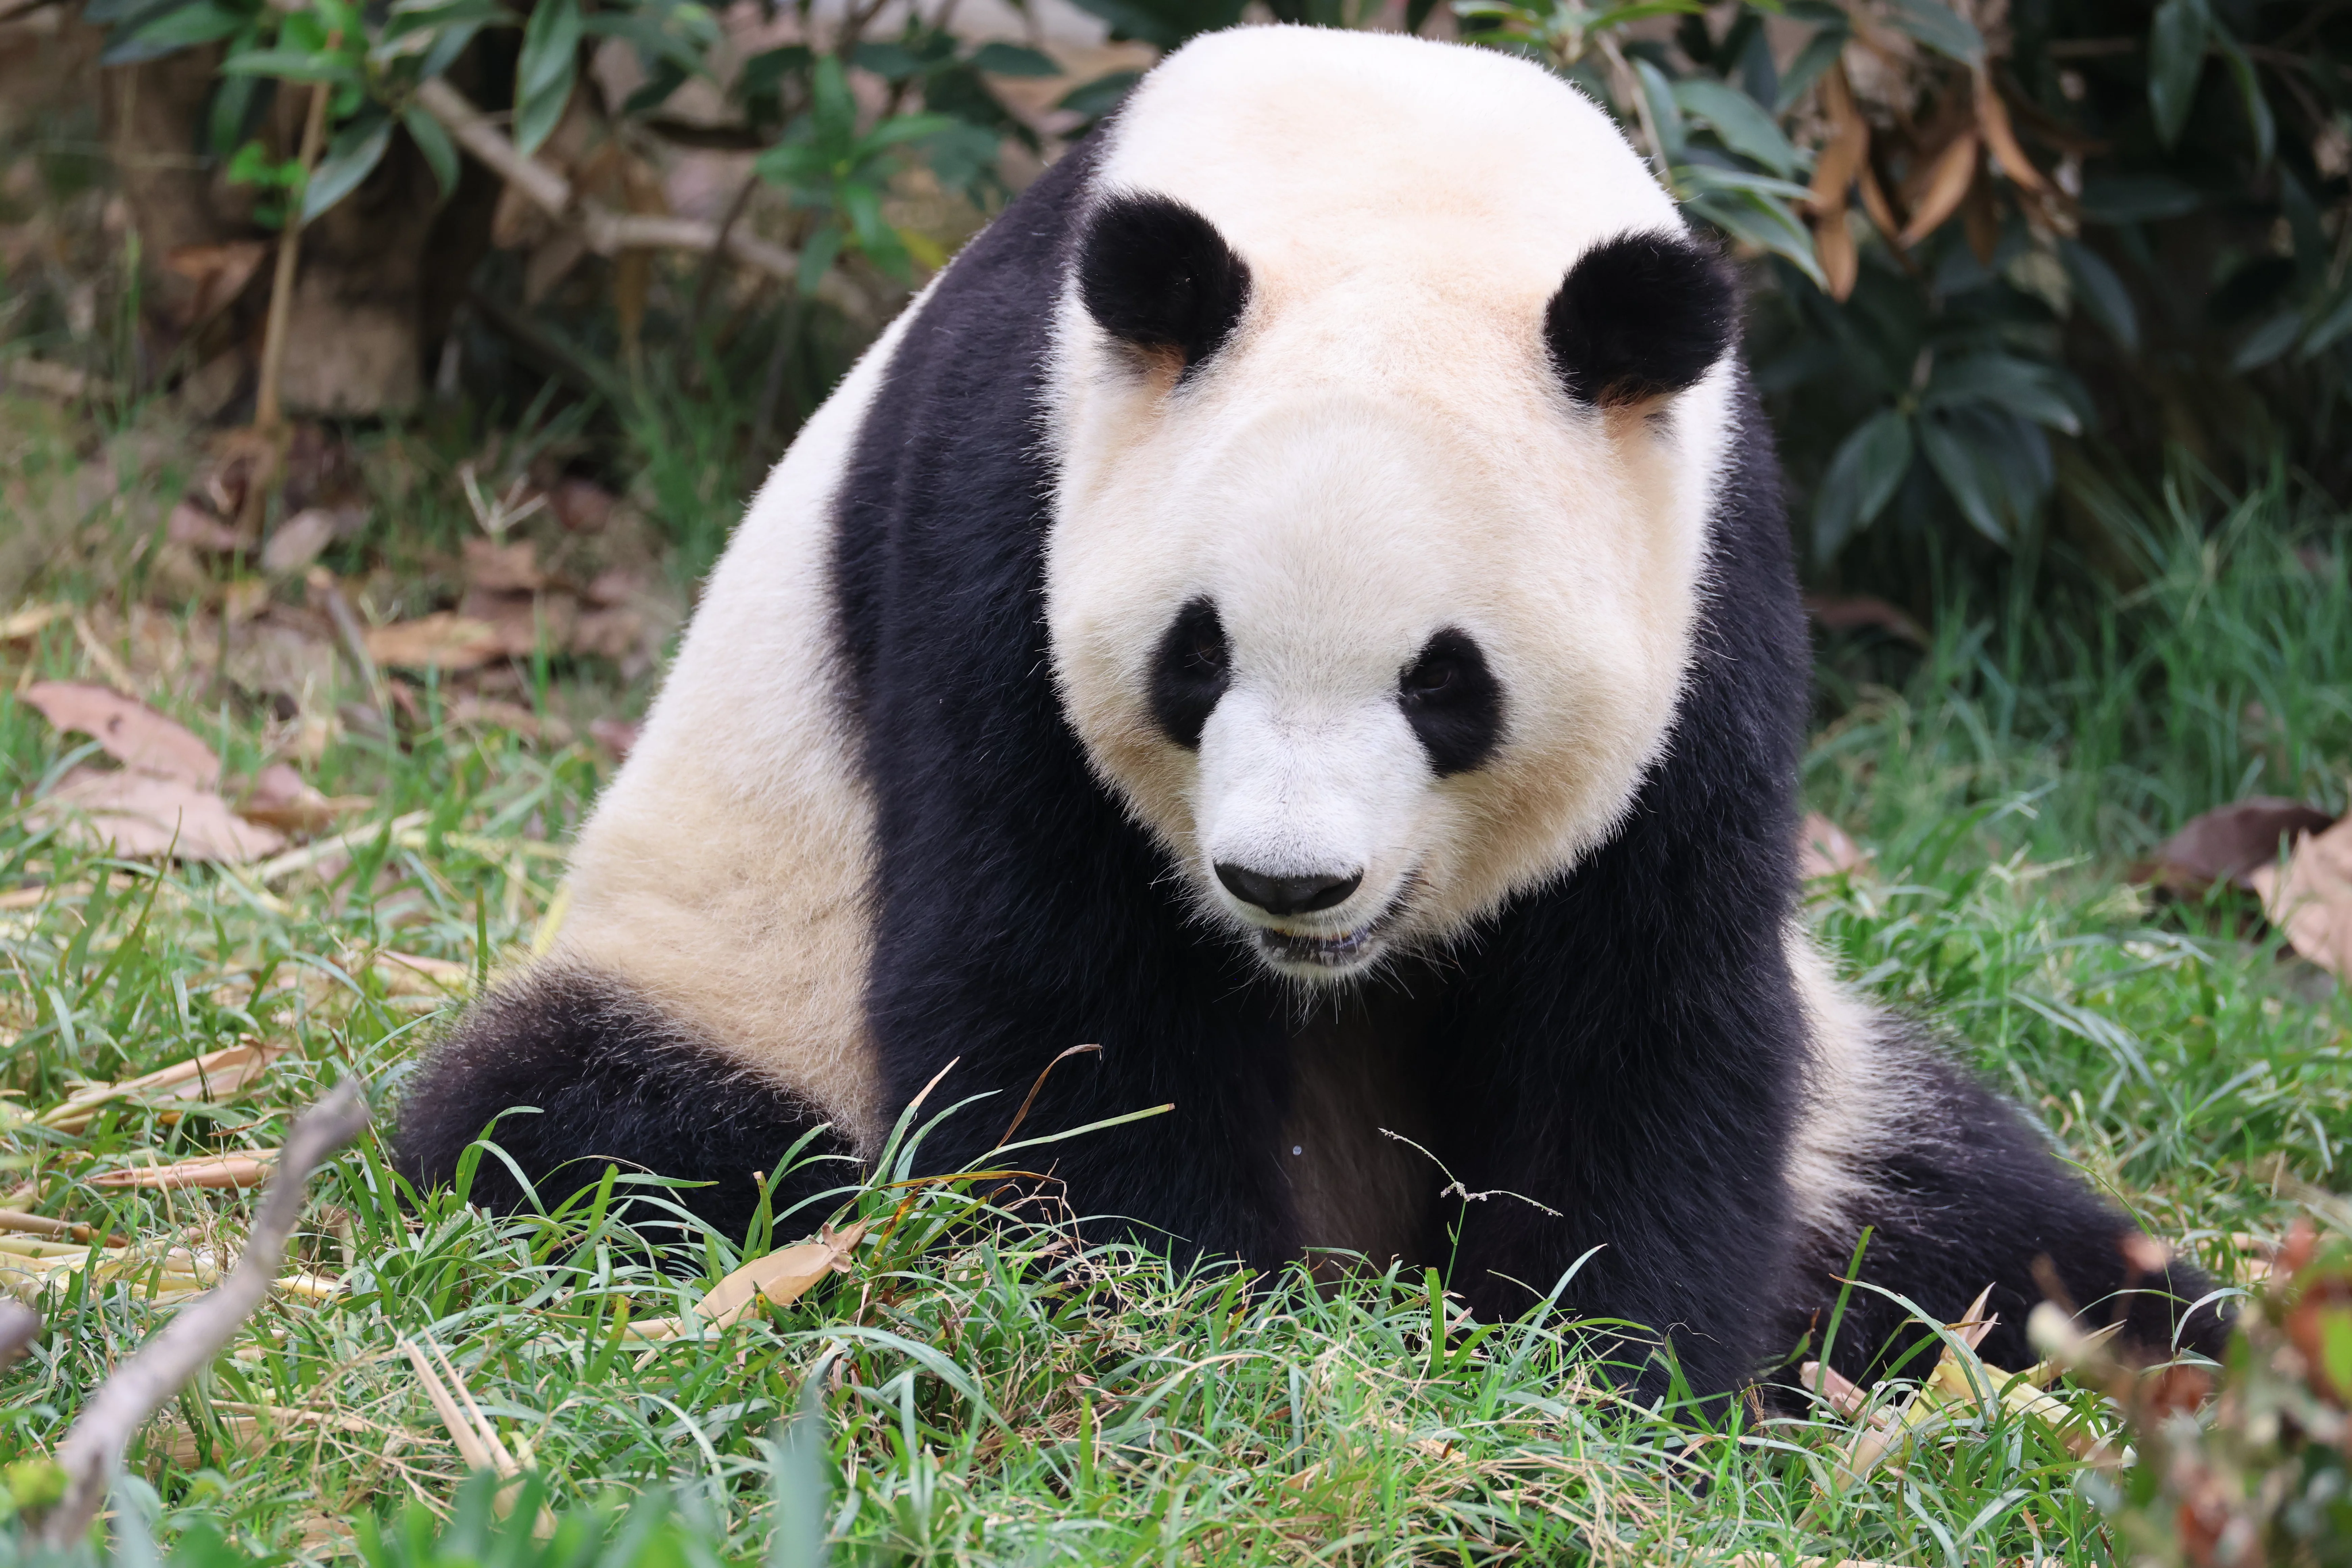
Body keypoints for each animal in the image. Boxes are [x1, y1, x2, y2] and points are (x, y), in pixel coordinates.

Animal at [396, 25, 2229, 1400]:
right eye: (1195, 658)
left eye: (1447, 682)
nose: (1290, 883)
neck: (1390, 164)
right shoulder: (1012, 504)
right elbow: (1061, 999)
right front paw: (1196, 1333)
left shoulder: (1715, 578)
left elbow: (1641, 1007)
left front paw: (1594, 1377)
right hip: (734, 961)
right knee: (614, 1127)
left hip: (1853, 1107)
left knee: (1971, 1217)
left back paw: (2149, 1353)